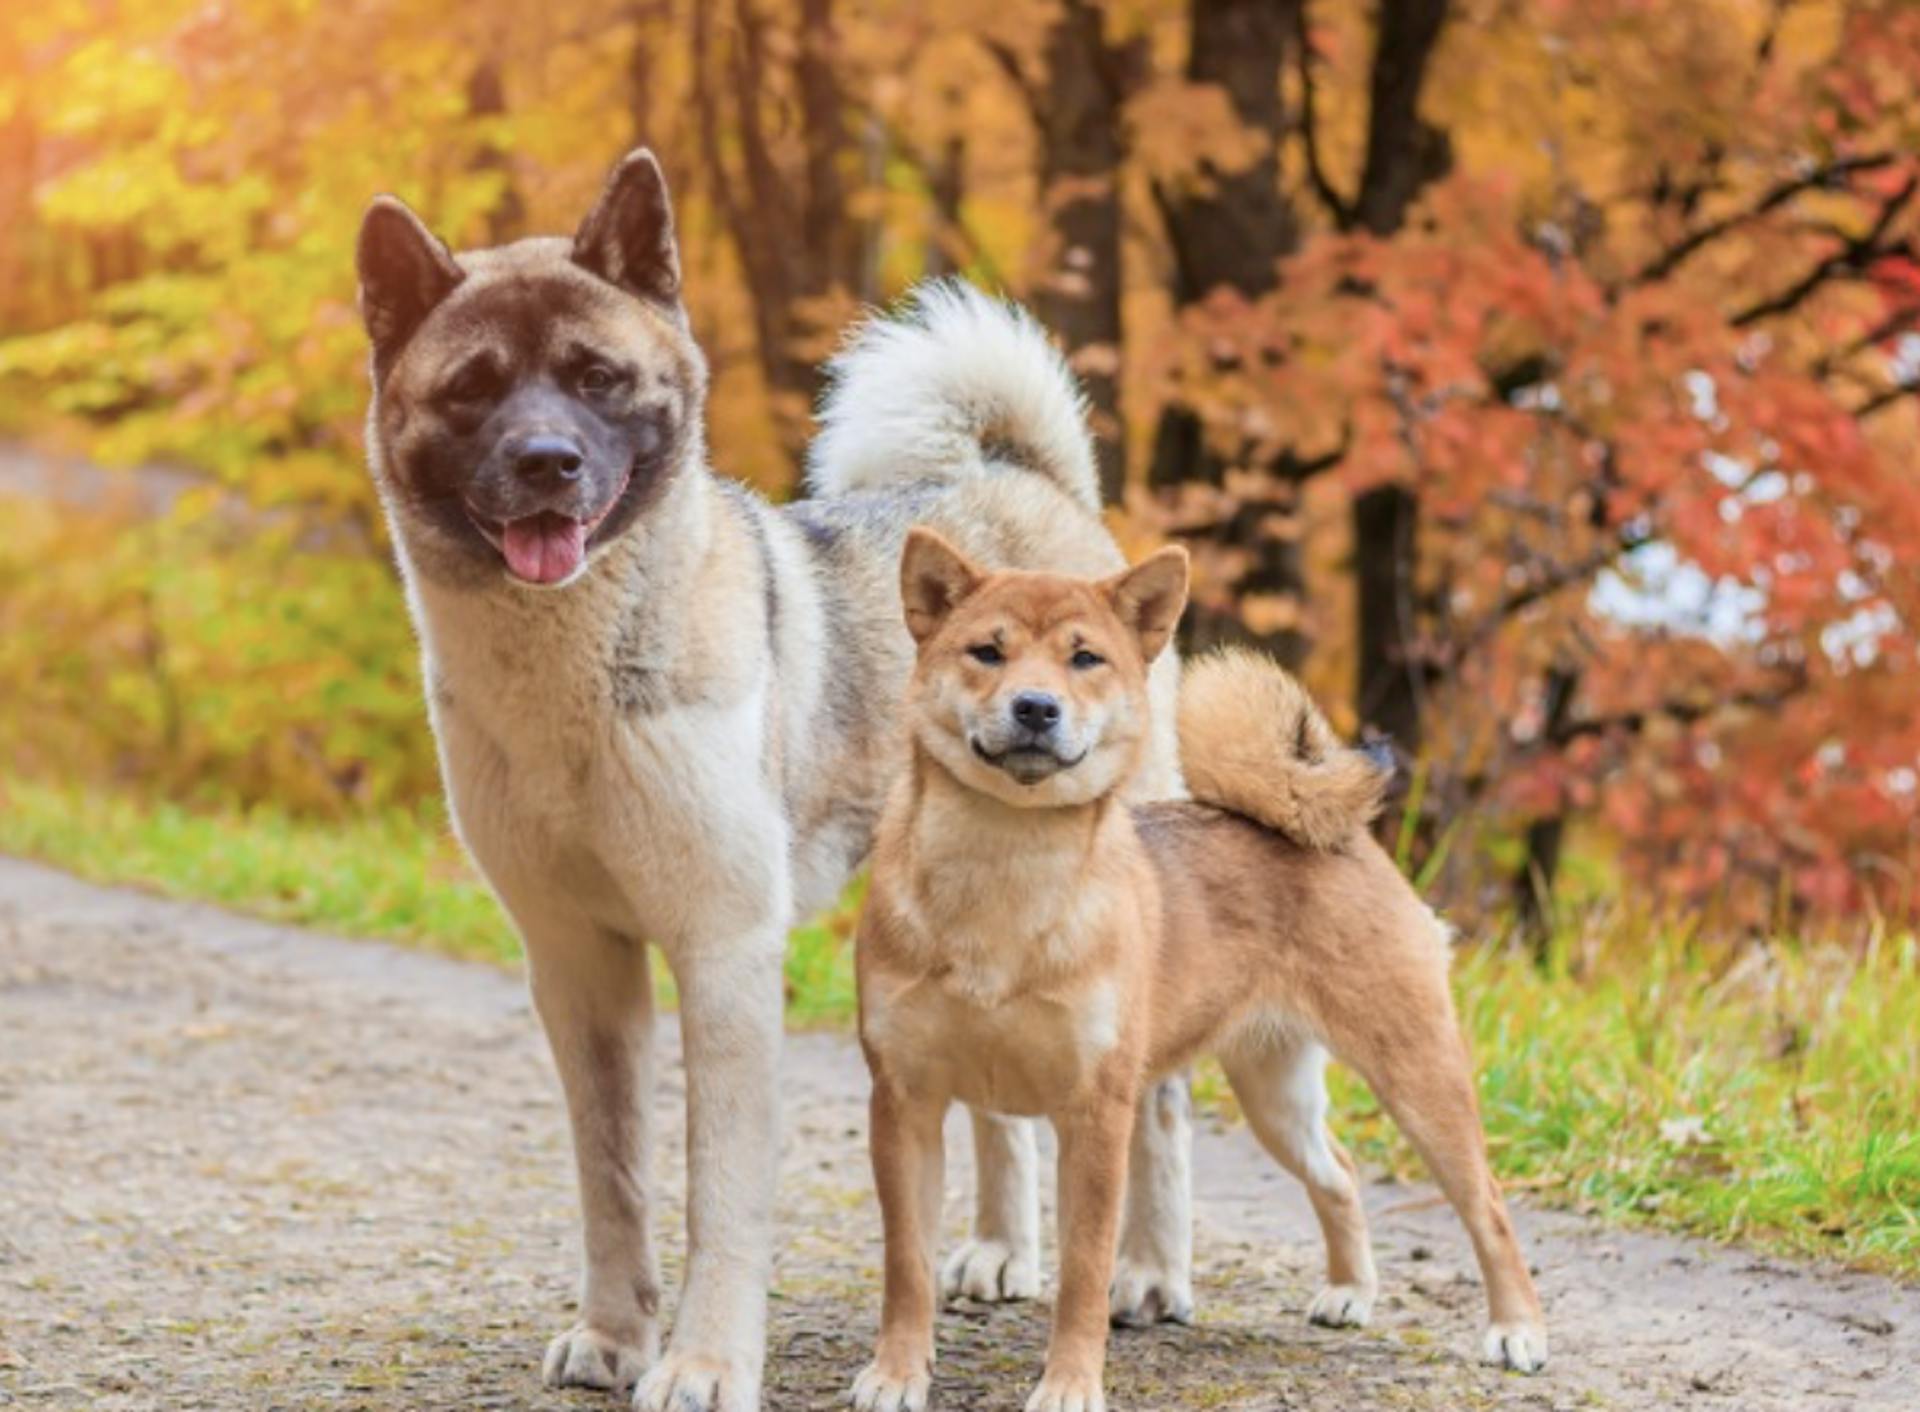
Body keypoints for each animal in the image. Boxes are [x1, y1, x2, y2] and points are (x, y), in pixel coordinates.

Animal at [351, 148, 1198, 1406]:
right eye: (473, 387)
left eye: (597, 377)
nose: (548, 462)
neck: (577, 682)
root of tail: (1028, 482)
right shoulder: (577, 965)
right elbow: (613, 1175)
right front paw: (615, 1333)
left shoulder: (724, 952)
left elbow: (720, 1192)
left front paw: (703, 1361)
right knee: (1001, 1106)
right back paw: (1001, 1248)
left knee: (1160, 1099)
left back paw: (1147, 1269)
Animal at [852, 534, 1543, 1412]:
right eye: (987, 652)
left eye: (1085, 658)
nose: (1036, 706)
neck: (1003, 877)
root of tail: (1335, 834)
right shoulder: (905, 1102)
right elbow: (906, 1265)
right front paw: (898, 1373)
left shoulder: (1097, 1114)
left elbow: (1084, 1273)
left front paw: (1069, 1385)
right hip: (1275, 1095)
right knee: (1340, 1172)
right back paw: (1350, 1292)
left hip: (1416, 1078)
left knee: (1486, 1204)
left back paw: (1516, 1330)